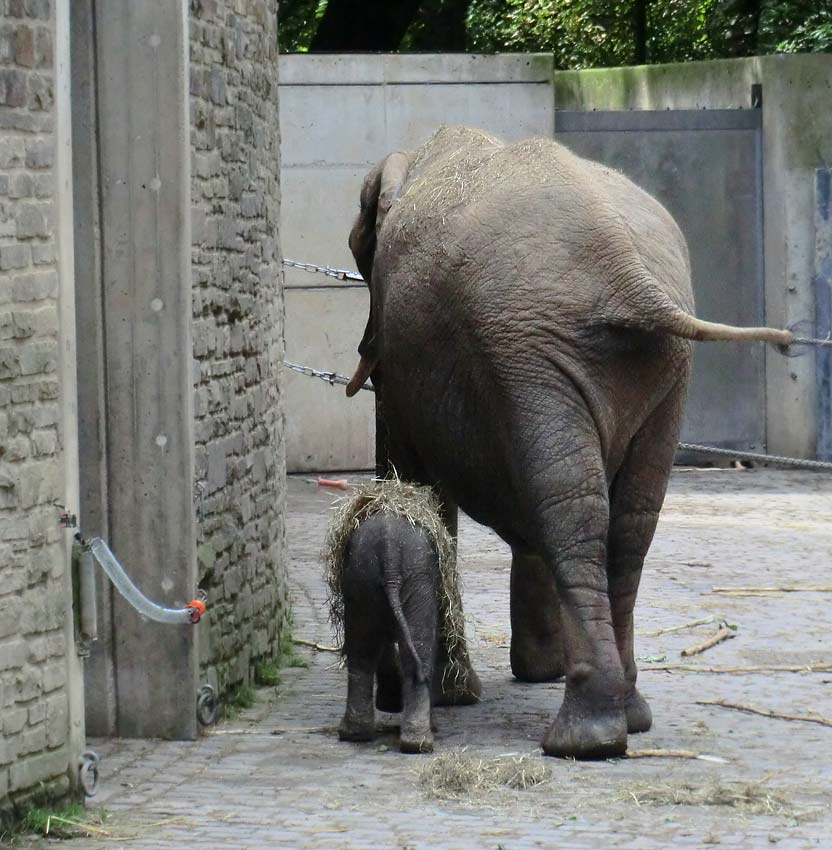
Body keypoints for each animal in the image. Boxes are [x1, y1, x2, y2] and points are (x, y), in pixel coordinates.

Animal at [324, 480, 462, 752]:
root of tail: (389, 554)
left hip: (361, 578)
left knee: (361, 650)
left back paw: (355, 734)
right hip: (416, 578)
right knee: (417, 650)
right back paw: (420, 743)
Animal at [342, 126, 788, 756]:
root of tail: (627, 272)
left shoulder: (399, 357)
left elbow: (416, 484)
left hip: (544, 353)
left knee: (569, 507)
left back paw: (583, 738)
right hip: (648, 368)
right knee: (625, 519)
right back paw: (626, 718)